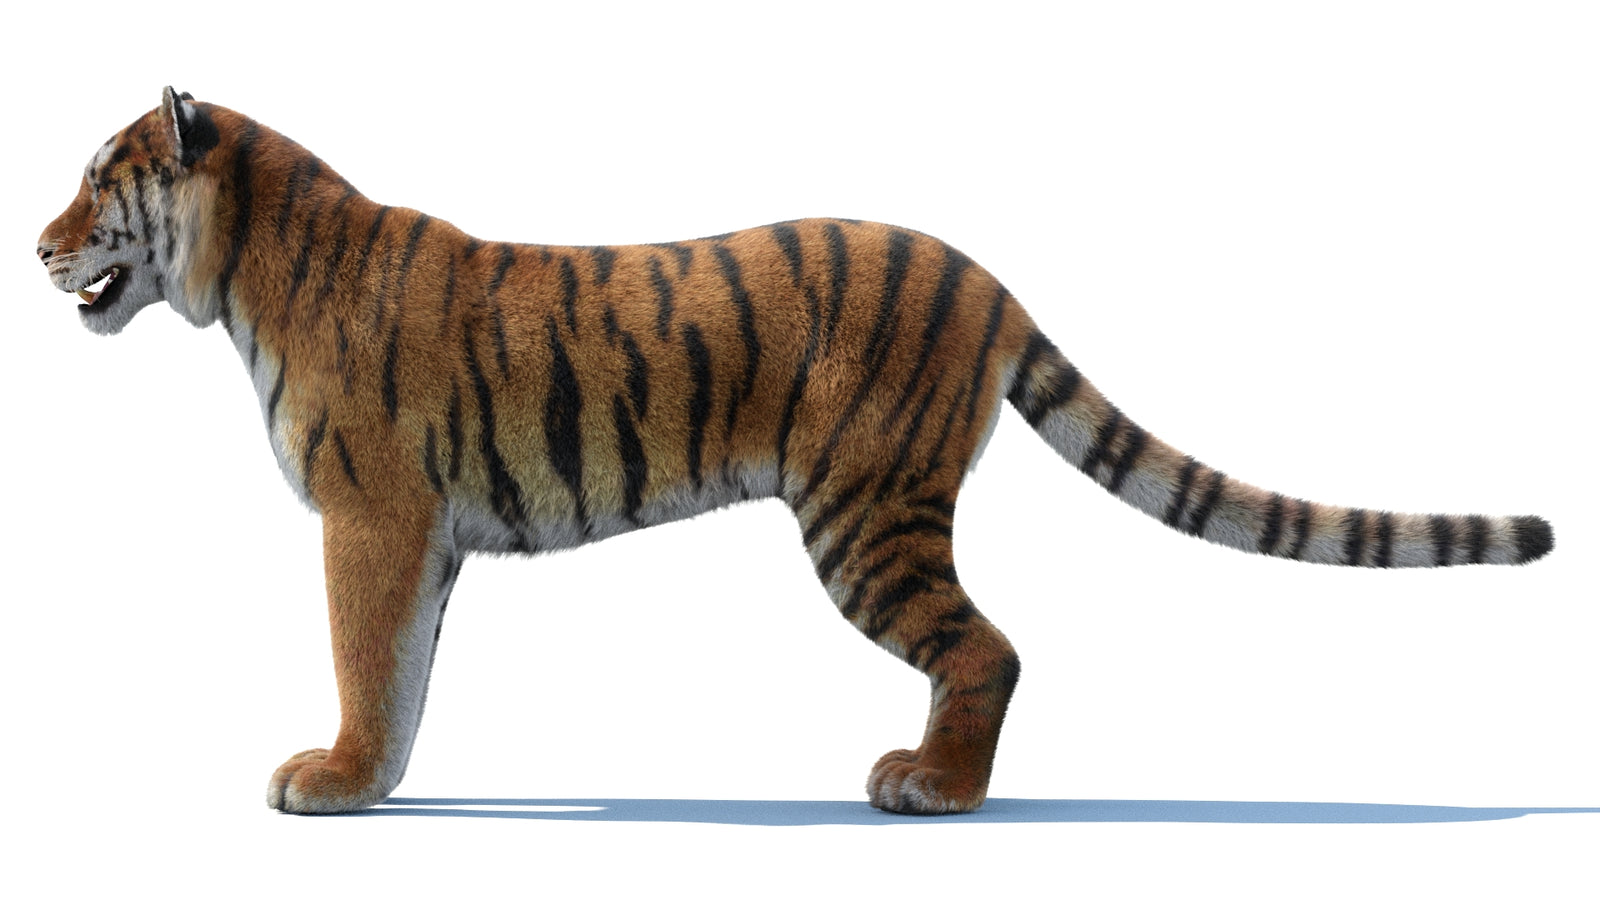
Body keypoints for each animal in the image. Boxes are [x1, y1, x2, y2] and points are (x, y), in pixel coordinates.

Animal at [37, 88, 1553, 816]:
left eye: (100, 178)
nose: (39, 244)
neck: (242, 269)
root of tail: (991, 281)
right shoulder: (425, 537)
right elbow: (403, 672)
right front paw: (380, 782)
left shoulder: (372, 516)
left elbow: (362, 657)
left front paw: (333, 782)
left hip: (862, 513)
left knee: (991, 649)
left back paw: (932, 791)